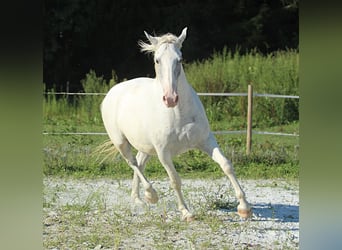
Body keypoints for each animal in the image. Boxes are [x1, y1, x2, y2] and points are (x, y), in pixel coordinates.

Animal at [101, 27, 251, 221]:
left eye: (179, 59)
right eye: (157, 60)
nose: (171, 98)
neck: (178, 113)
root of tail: (112, 92)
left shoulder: (206, 141)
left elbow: (226, 165)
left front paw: (244, 208)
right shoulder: (163, 153)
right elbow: (175, 180)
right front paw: (186, 212)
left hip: (145, 147)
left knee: (139, 164)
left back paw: (139, 200)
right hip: (121, 142)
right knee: (132, 163)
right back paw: (151, 195)